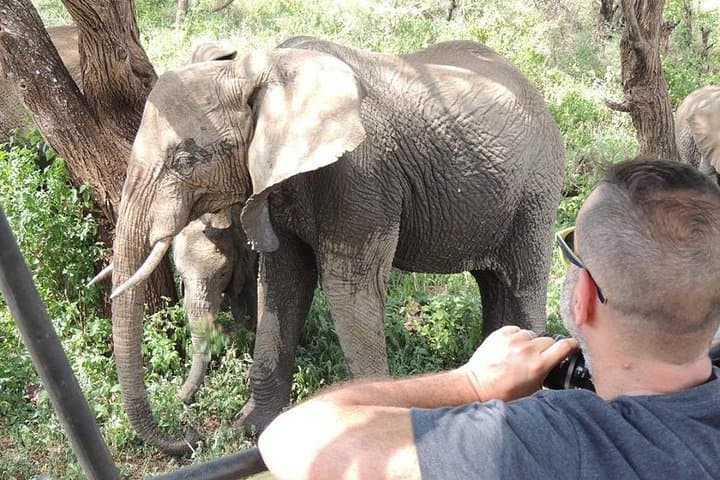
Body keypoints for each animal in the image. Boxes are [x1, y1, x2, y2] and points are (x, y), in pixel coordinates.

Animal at [108, 37, 565, 455]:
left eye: (185, 162)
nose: (190, 434)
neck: (264, 69)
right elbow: (283, 283)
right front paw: (248, 429)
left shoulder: (360, 178)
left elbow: (348, 289)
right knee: (492, 281)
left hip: (536, 189)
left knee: (523, 280)